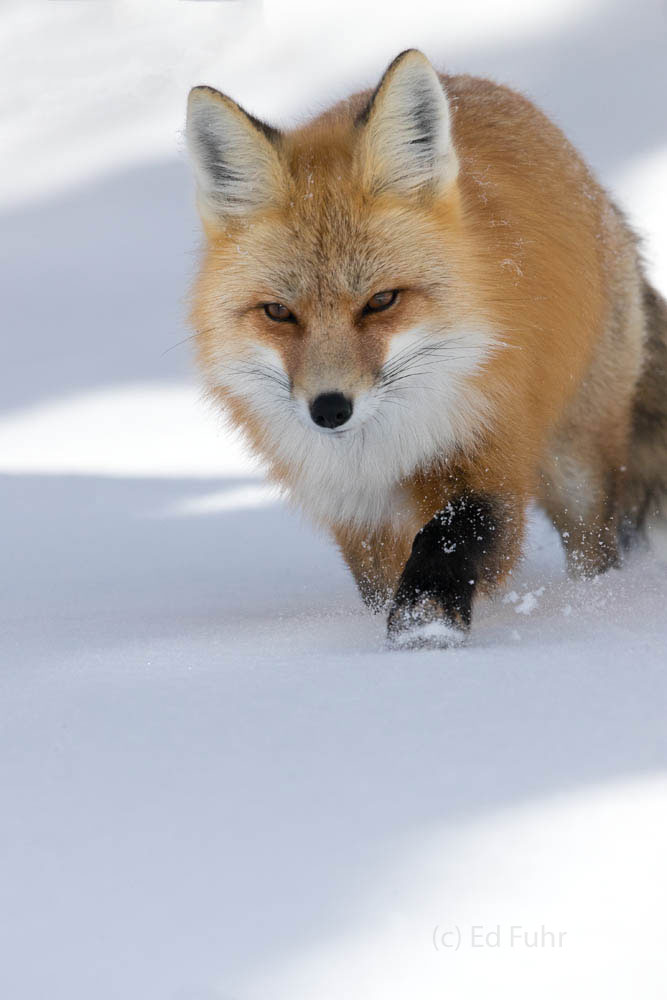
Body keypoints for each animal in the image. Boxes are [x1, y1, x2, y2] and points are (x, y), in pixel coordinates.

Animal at [185, 50, 667, 648]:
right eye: (278, 313)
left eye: (381, 301)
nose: (329, 409)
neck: (383, 450)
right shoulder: (357, 514)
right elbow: (381, 581)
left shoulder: (490, 452)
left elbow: (453, 535)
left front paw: (425, 622)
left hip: (578, 462)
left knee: (595, 548)